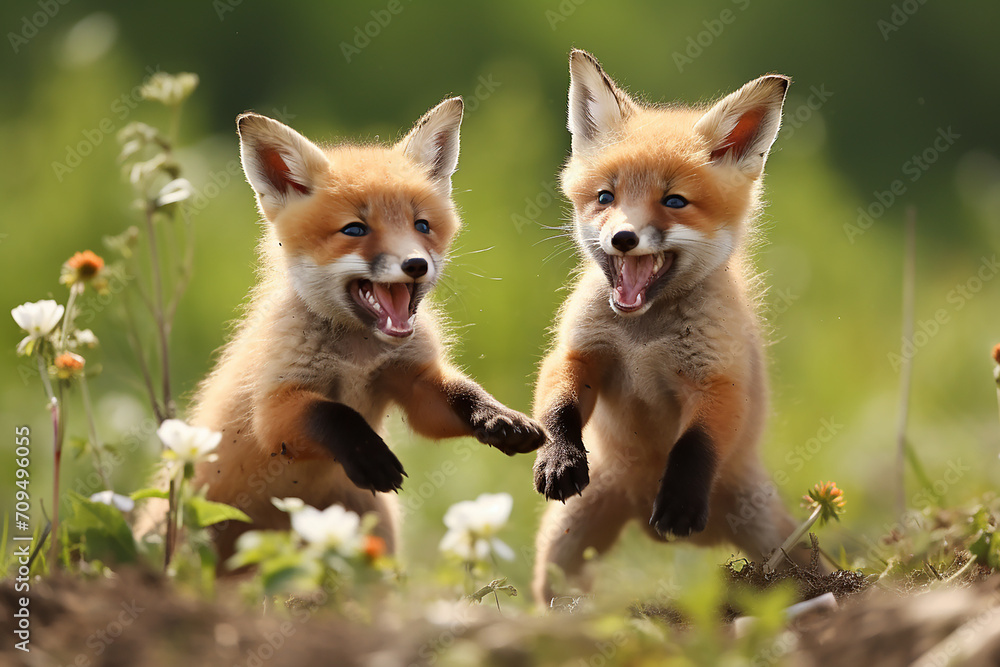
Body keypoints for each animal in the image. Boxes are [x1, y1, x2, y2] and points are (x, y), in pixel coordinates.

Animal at [187, 97, 544, 561]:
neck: (358, 355)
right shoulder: (273, 408)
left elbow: (461, 395)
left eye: (421, 226)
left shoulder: (413, 381)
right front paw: (369, 454)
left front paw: (498, 417)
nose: (416, 264)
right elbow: (333, 413)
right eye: (355, 229)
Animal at [531, 50, 812, 605]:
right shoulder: (579, 354)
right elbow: (557, 404)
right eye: (605, 197)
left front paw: (680, 501)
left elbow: (694, 446)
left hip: (771, 535)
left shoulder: (717, 381)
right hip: (569, 535)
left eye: (674, 201)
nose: (623, 237)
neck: (642, 336)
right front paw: (559, 458)